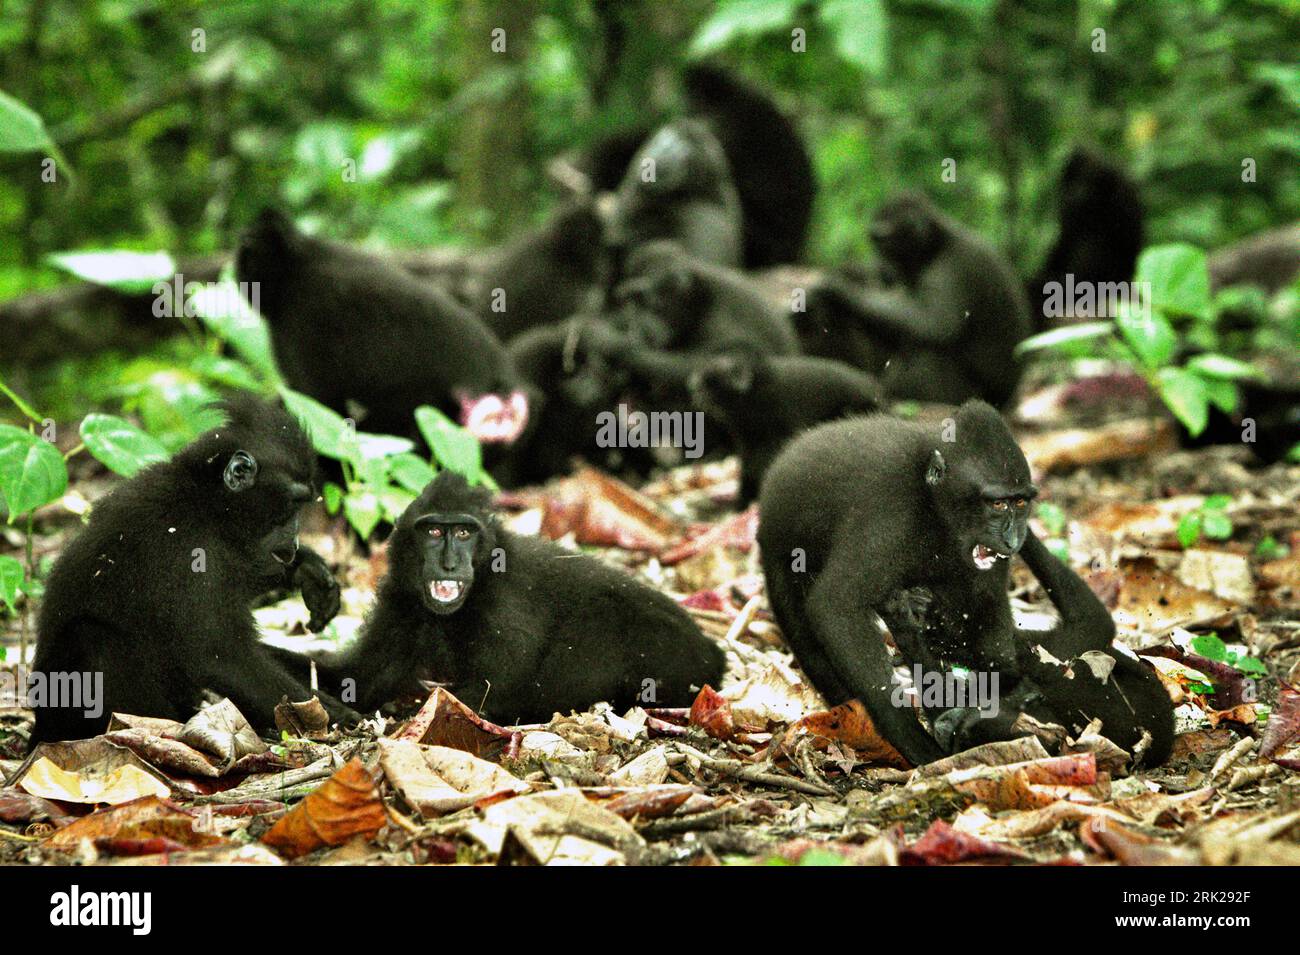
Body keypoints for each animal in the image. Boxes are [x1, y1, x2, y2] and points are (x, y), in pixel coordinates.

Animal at [30, 396, 358, 744]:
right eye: (294, 504)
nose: (294, 543)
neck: (205, 504)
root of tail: (39, 728)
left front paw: (307, 568)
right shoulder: (191, 549)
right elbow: (221, 655)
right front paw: (335, 716)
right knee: (91, 636)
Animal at [235, 209, 526, 443]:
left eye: (244, 257)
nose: (237, 273)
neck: (296, 269)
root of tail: (498, 371)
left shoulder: (299, 332)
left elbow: (320, 407)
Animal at [318, 472, 725, 724]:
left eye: (464, 533)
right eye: (433, 531)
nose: (449, 564)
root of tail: (710, 652)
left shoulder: (503, 602)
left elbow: (497, 689)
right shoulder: (401, 600)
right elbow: (356, 676)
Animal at [758, 400, 1174, 767]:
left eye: (1020, 503)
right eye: (997, 504)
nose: (1014, 539)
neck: (935, 506)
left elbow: (992, 635)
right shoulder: (890, 512)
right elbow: (836, 605)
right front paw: (912, 739)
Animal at [804, 192, 1032, 406]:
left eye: (883, 242)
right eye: (875, 243)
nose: (881, 263)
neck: (936, 245)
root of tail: (1008, 398)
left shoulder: (951, 268)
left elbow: (934, 324)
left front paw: (841, 290)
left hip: (968, 393)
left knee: (927, 352)